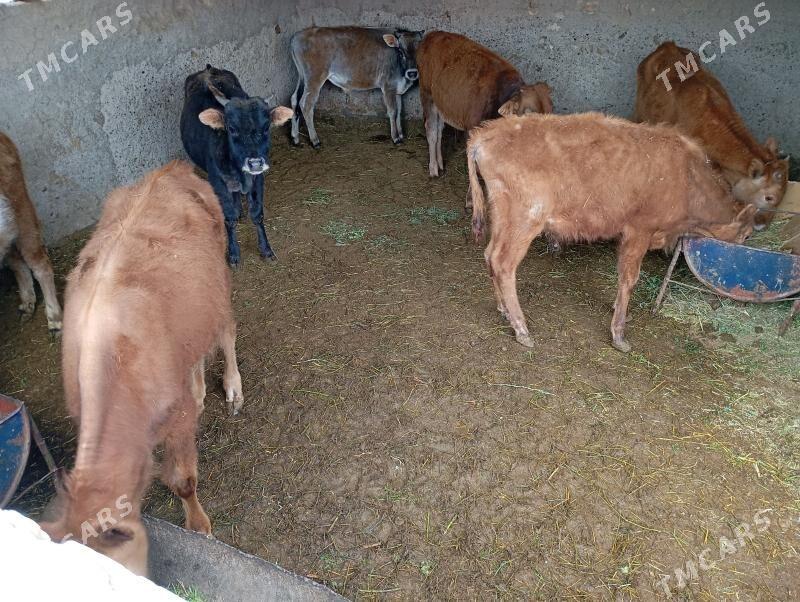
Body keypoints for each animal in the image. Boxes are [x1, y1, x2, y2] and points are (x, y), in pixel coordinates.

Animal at [39, 161, 245, 576]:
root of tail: (168, 169)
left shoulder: (177, 415)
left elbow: (182, 480)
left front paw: (199, 525)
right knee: (195, 351)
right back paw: (200, 388)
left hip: (218, 276)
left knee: (226, 330)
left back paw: (232, 388)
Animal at [180, 64, 293, 267]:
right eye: (232, 129)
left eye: (266, 127)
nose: (255, 162)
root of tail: (208, 69)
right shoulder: (218, 182)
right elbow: (229, 218)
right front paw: (233, 254)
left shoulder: (258, 179)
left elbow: (257, 214)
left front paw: (266, 250)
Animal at [290, 27, 424, 148]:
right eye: (401, 51)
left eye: (420, 52)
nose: (412, 73)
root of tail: (298, 35)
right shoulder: (388, 87)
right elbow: (393, 111)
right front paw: (396, 138)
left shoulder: (397, 90)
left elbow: (399, 111)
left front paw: (401, 134)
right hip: (314, 79)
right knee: (306, 105)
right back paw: (315, 141)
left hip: (302, 77)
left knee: (294, 100)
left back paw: (295, 138)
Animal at [417, 31, 553, 182]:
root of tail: (432, 34)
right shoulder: (472, 131)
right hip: (426, 94)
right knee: (431, 131)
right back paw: (433, 168)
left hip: (441, 103)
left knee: (439, 130)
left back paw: (440, 163)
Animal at [467, 113, 756, 353]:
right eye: (747, 235)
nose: (746, 242)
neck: (688, 177)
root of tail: (484, 134)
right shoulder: (640, 229)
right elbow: (629, 278)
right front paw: (619, 334)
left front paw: (620, 311)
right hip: (525, 219)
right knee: (504, 263)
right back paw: (521, 328)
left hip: (502, 217)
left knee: (489, 255)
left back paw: (503, 309)